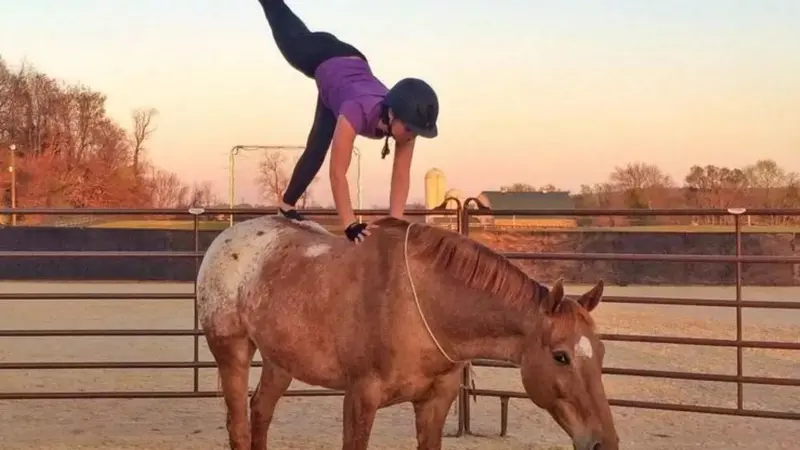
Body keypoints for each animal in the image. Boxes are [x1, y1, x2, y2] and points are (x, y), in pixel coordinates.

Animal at [197, 214, 620, 450]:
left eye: (601, 354)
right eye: (561, 356)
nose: (605, 443)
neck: (424, 306)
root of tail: (225, 239)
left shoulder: (436, 402)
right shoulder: (360, 398)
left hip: (279, 361)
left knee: (260, 413)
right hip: (232, 352)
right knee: (238, 426)